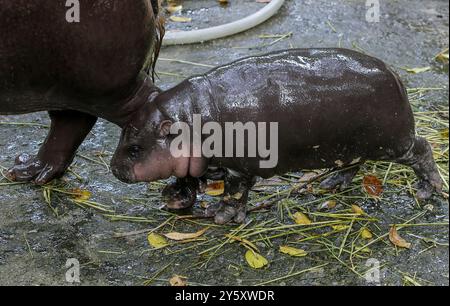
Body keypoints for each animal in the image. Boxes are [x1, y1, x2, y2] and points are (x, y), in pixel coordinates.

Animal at [110, 48, 442, 225]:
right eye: (123, 134)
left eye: (135, 148)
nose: (113, 169)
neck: (188, 116)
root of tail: (395, 75)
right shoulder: (202, 162)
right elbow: (189, 178)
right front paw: (176, 197)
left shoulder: (237, 167)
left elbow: (233, 194)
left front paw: (220, 216)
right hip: (350, 146)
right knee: (351, 165)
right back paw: (330, 184)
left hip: (393, 143)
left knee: (422, 150)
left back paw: (428, 191)